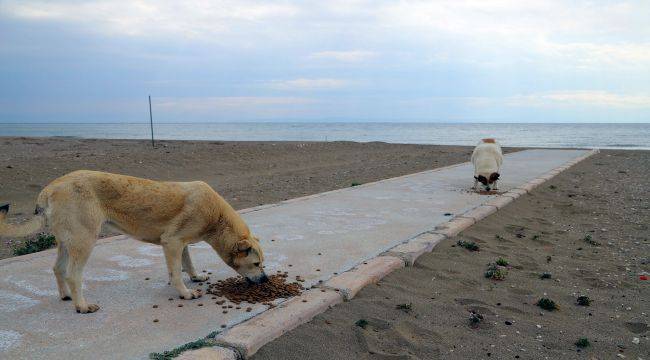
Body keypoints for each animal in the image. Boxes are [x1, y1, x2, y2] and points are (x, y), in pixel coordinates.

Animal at [0, 170, 266, 314]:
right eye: (256, 264)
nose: (265, 280)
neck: (218, 219)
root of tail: (49, 189)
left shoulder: (181, 244)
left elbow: (186, 263)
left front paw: (195, 276)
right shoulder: (172, 242)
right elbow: (176, 273)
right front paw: (184, 292)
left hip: (67, 241)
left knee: (57, 268)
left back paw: (66, 297)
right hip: (85, 240)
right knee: (73, 274)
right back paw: (82, 306)